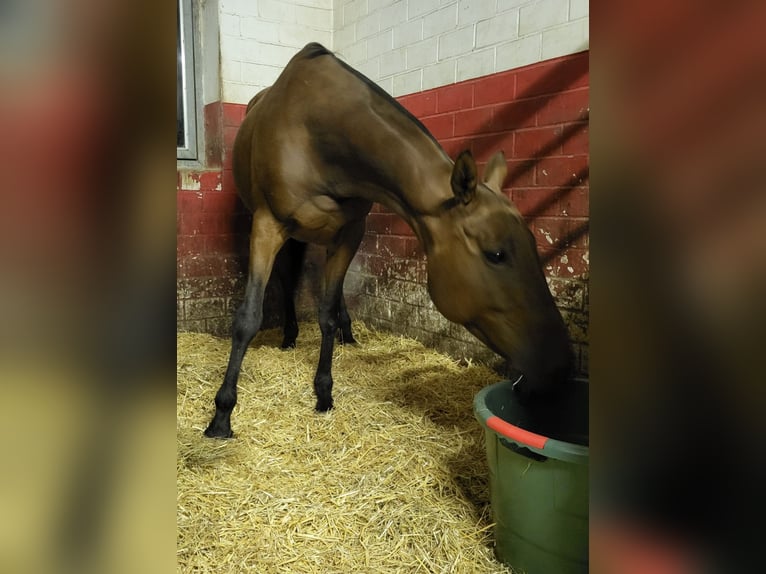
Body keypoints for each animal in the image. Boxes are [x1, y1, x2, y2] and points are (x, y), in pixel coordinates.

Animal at [205, 43, 573, 438]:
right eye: (496, 253)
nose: (559, 365)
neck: (317, 135)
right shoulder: (267, 225)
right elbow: (248, 317)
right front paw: (222, 414)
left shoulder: (350, 231)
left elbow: (326, 314)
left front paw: (324, 394)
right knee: (287, 280)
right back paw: (288, 336)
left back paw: (345, 332)